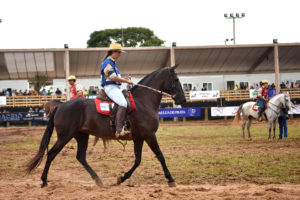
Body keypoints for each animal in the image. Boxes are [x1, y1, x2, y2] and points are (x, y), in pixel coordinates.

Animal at [27, 65, 185, 188]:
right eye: (176, 80)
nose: (182, 99)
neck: (143, 101)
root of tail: (60, 107)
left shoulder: (139, 138)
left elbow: (138, 160)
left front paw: (121, 178)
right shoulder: (149, 135)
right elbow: (160, 156)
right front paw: (170, 179)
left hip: (82, 136)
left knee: (81, 157)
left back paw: (98, 180)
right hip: (65, 136)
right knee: (51, 154)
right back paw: (44, 181)